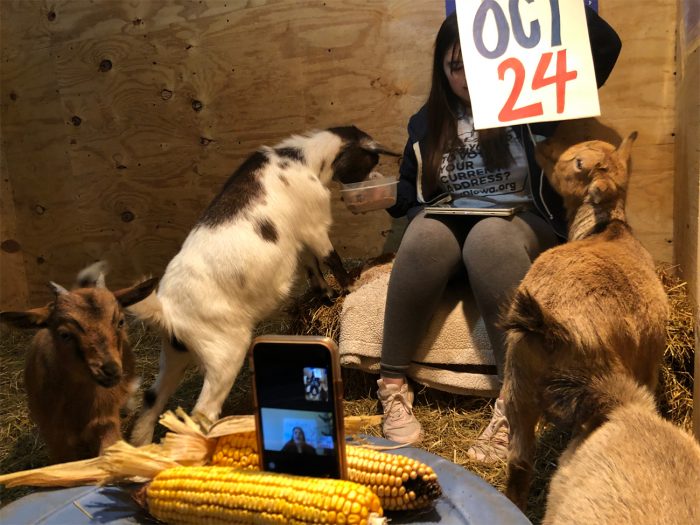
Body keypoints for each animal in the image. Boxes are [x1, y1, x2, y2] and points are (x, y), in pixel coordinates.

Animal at [129, 126, 396, 442]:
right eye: (370, 160)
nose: (374, 181)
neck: (304, 159)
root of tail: (166, 309)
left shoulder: (300, 235)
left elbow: (311, 267)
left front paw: (327, 295)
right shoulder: (315, 226)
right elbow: (329, 257)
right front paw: (350, 287)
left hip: (174, 353)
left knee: (151, 401)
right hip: (223, 354)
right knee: (202, 414)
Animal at [500, 132, 668, 512]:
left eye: (579, 163)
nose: (542, 145)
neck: (607, 229)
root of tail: (548, 325)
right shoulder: (647, 365)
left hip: (517, 389)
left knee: (519, 466)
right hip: (593, 390)